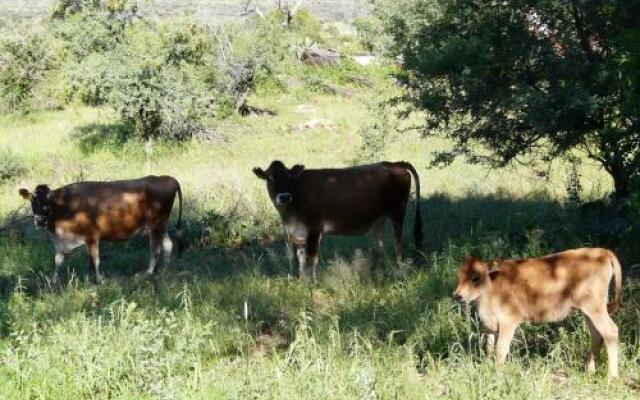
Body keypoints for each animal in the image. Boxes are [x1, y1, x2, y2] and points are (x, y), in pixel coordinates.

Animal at [18, 176, 182, 284]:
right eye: (32, 199)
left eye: (50, 199)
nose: (40, 220)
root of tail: (167, 178)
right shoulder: (59, 240)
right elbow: (58, 260)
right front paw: (53, 281)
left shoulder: (92, 236)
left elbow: (95, 260)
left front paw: (99, 281)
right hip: (161, 226)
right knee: (168, 245)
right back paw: (165, 270)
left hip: (156, 225)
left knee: (155, 249)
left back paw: (147, 273)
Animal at [252, 160, 422, 282]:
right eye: (270, 178)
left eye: (290, 177)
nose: (284, 197)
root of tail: (394, 164)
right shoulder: (297, 233)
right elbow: (300, 258)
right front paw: (301, 280)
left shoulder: (315, 228)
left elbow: (312, 257)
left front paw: (312, 283)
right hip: (379, 219)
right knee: (380, 245)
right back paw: (375, 272)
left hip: (398, 213)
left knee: (398, 242)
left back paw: (399, 271)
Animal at [452, 248, 624, 380]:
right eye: (458, 276)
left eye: (475, 278)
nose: (457, 295)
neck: (492, 285)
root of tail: (601, 251)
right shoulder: (490, 327)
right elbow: (488, 349)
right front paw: (487, 369)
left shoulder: (508, 322)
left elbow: (500, 350)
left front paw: (497, 375)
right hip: (589, 311)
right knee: (596, 334)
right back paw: (590, 371)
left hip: (595, 309)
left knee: (610, 332)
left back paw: (611, 377)